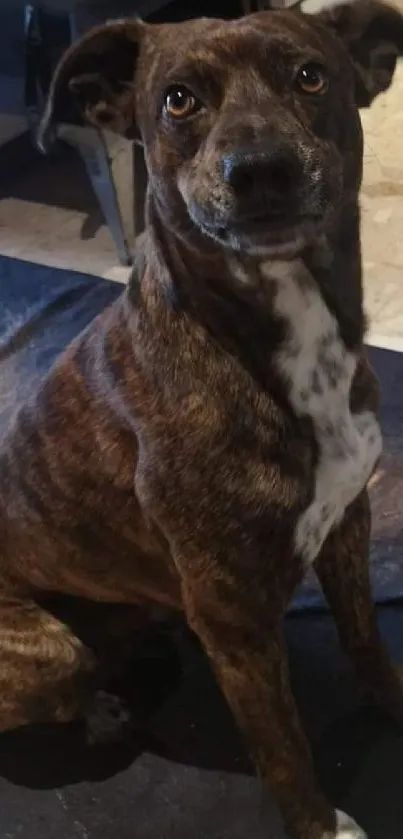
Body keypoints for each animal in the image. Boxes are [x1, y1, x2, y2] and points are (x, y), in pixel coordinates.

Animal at [2, 1, 403, 839]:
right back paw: (103, 711)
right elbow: (281, 741)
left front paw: (397, 705)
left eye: (309, 75)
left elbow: (366, 640)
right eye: (177, 100)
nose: (259, 169)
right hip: (50, 650)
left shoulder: (347, 524)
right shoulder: (234, 616)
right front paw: (320, 824)